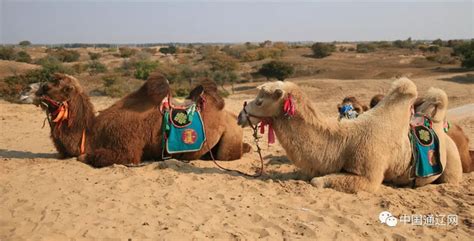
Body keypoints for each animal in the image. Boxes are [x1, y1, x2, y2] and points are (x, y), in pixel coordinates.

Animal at [35, 72, 250, 167]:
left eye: (63, 87)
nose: (40, 88)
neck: (92, 134)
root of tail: (234, 117)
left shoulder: (127, 148)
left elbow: (94, 157)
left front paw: (83, 156)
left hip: (229, 140)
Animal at [239, 78, 462, 193]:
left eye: (260, 101)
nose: (241, 115)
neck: (344, 141)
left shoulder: (370, 177)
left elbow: (317, 181)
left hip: (452, 163)